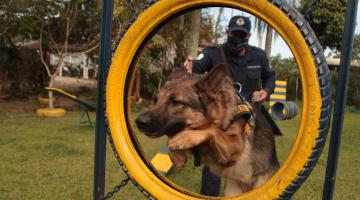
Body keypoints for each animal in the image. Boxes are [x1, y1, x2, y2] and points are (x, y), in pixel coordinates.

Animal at [135, 64, 278, 195]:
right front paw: (177, 155)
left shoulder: (235, 147)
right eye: (155, 100)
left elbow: (213, 130)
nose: (138, 122)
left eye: (175, 102)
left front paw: (184, 138)